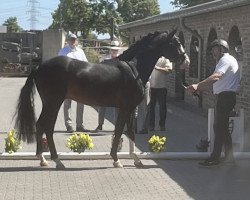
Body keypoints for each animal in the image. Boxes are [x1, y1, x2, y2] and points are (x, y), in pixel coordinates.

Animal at [14, 28, 189, 168]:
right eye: (175, 42)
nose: (185, 61)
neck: (134, 68)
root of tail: (39, 67)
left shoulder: (130, 108)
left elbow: (130, 131)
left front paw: (136, 159)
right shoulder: (125, 108)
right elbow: (118, 131)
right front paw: (116, 160)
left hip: (50, 103)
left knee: (42, 126)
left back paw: (44, 159)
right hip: (53, 103)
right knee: (46, 127)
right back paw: (53, 160)